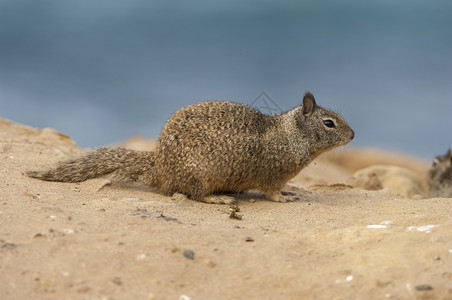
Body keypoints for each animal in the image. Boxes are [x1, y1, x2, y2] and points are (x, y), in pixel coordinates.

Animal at [27, 92, 356, 204]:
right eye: (329, 123)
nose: (353, 135)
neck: (291, 135)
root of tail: (158, 167)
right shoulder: (272, 174)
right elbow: (272, 191)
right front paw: (284, 197)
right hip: (201, 176)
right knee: (193, 195)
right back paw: (218, 199)